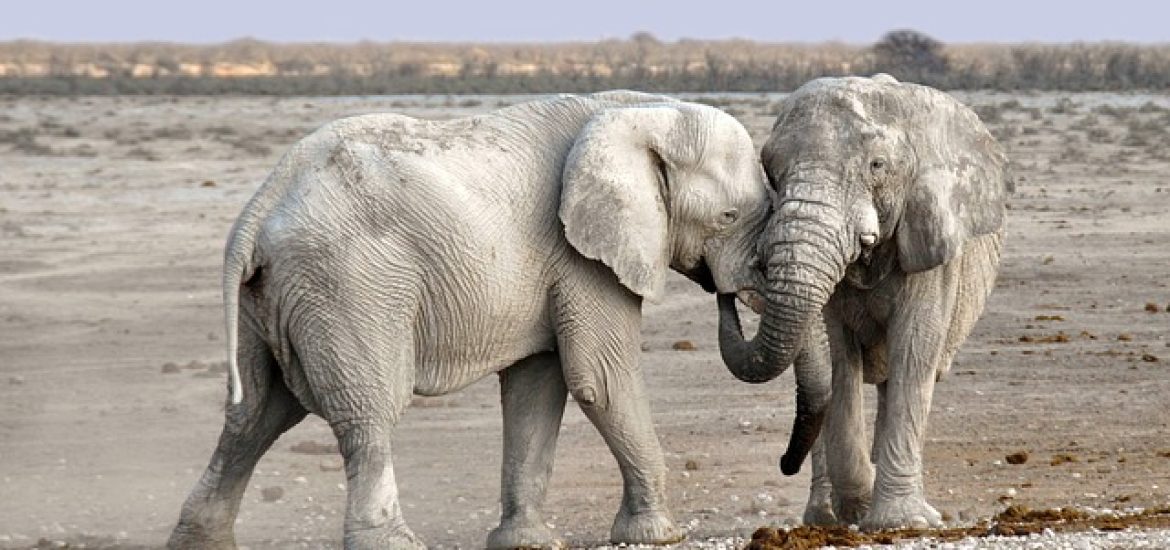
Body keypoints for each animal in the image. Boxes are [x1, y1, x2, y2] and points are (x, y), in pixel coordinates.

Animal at [162, 91, 767, 550]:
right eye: (728, 216)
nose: (727, 292)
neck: (643, 110)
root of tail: (259, 206)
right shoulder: (581, 257)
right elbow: (600, 380)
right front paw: (658, 535)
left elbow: (537, 387)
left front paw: (526, 543)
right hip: (347, 285)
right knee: (367, 412)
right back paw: (395, 545)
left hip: (274, 298)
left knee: (255, 415)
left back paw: (200, 543)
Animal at [716, 75, 1010, 531]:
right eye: (771, 171)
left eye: (877, 166)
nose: (726, 291)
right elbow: (838, 358)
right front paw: (861, 506)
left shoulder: (930, 240)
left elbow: (915, 350)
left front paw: (900, 522)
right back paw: (824, 517)